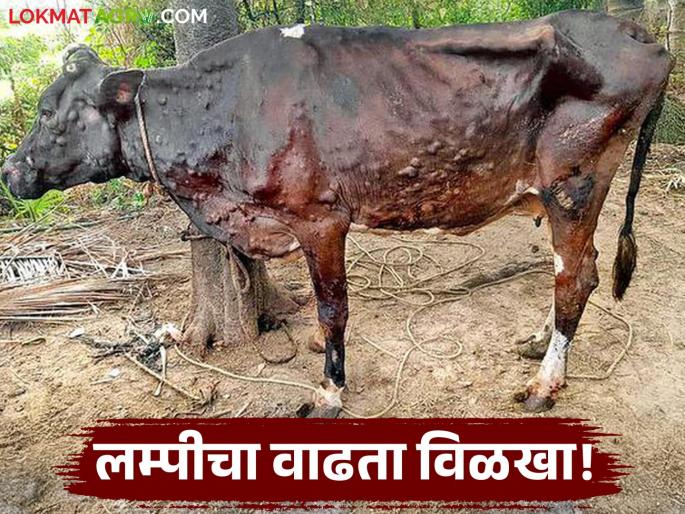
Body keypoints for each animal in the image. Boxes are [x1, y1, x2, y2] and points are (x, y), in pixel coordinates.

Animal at [1, 10, 674, 417]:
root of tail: (642, 38)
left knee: (577, 276)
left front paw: (329, 392)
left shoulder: (320, 218)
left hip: (574, 184)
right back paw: (539, 345)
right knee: (574, 273)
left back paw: (544, 385)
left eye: (50, 113)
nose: (9, 172)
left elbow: (332, 310)